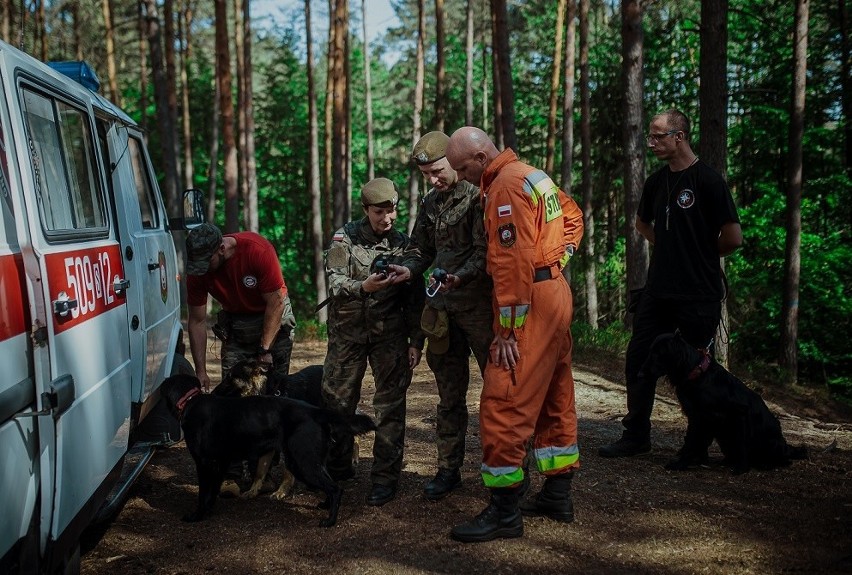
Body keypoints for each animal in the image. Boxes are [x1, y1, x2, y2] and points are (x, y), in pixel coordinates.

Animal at [161, 374, 374, 528]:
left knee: (336, 489)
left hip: (303, 463)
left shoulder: (204, 464)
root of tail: (314, 411)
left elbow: (202, 494)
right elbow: (212, 493)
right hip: (307, 462)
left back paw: (330, 521)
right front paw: (208, 511)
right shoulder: (220, 464)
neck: (190, 400)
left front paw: (196, 516)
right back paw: (325, 506)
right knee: (331, 485)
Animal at [644, 336, 808, 474]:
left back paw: (765, 464)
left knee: (784, 460)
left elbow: (740, 444)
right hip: (723, 437)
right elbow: (691, 442)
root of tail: (786, 447)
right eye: (650, 351)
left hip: (770, 442)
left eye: (657, 353)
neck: (698, 375)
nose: (641, 373)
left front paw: (742, 468)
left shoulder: (737, 413)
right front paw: (684, 462)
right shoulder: (697, 417)